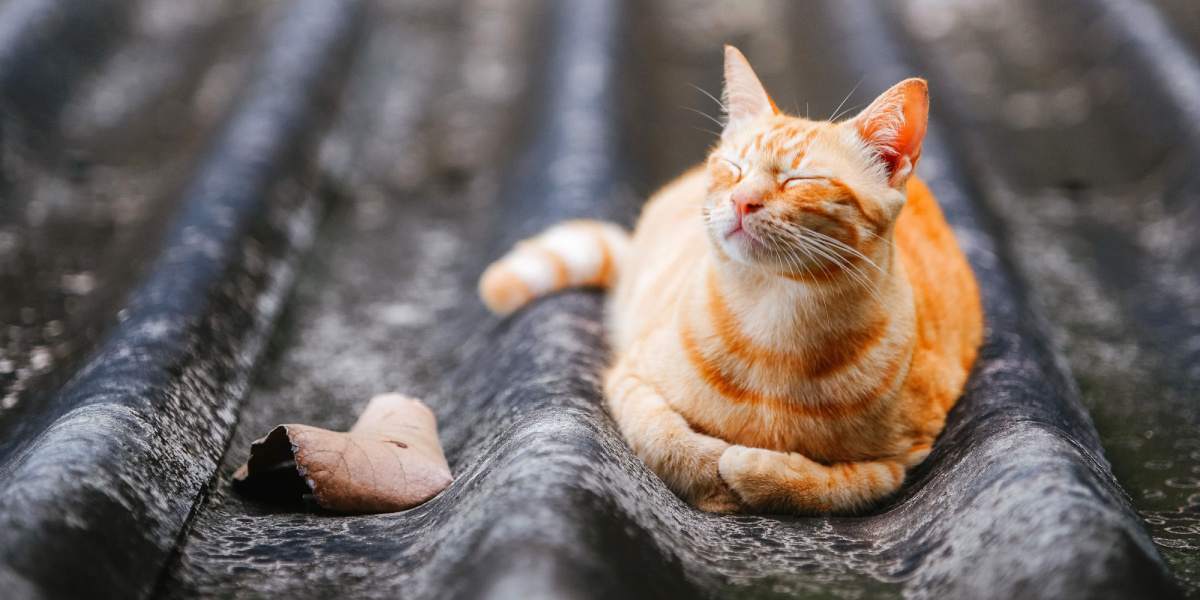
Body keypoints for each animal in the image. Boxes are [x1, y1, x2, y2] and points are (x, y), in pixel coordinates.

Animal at [477, 48, 984, 516]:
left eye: (801, 179)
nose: (743, 200)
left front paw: (755, 469)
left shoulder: (904, 458)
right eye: (734, 168)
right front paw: (713, 478)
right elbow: (664, 438)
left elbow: (837, 486)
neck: (776, 324)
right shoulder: (628, 378)